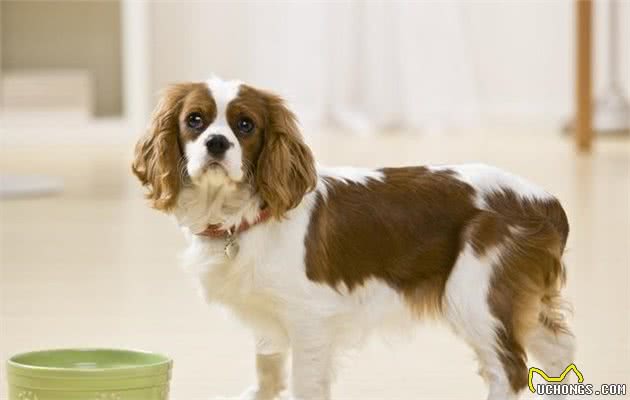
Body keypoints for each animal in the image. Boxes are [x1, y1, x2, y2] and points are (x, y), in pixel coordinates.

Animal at [133, 77, 576, 400]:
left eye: (245, 126)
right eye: (194, 120)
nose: (216, 142)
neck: (242, 216)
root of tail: (546, 201)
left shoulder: (309, 321)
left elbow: (304, 384)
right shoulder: (269, 317)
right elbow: (268, 370)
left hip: (475, 297)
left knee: (510, 370)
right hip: (516, 300)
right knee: (559, 353)